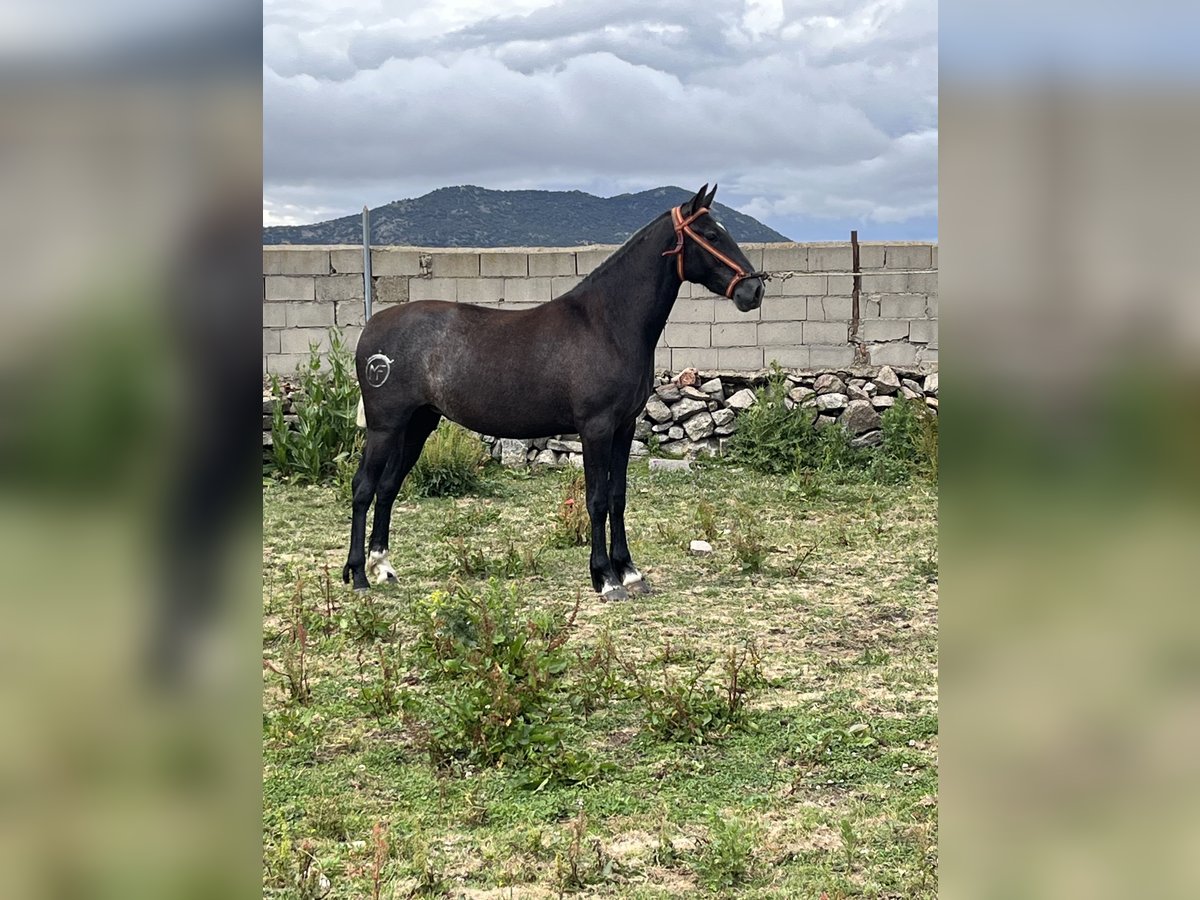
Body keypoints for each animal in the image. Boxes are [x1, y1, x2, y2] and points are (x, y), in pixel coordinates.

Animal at [343, 183, 763, 600]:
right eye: (711, 234)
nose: (754, 289)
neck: (606, 324)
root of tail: (372, 328)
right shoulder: (596, 428)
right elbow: (596, 499)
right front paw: (606, 579)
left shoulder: (624, 427)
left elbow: (618, 496)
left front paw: (630, 572)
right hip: (385, 427)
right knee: (364, 487)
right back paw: (358, 575)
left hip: (417, 424)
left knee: (388, 486)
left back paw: (383, 567)